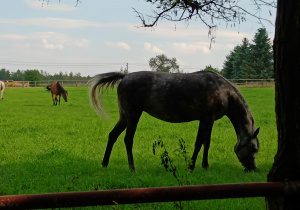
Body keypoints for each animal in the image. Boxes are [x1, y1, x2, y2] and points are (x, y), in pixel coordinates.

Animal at [88, 71, 258, 171]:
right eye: (254, 148)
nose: (253, 168)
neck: (223, 90)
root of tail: (125, 76)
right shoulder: (206, 119)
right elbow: (199, 143)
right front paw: (191, 166)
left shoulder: (208, 121)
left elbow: (206, 143)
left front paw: (205, 165)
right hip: (133, 115)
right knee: (128, 139)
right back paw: (132, 168)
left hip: (124, 117)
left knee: (112, 135)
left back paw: (104, 163)